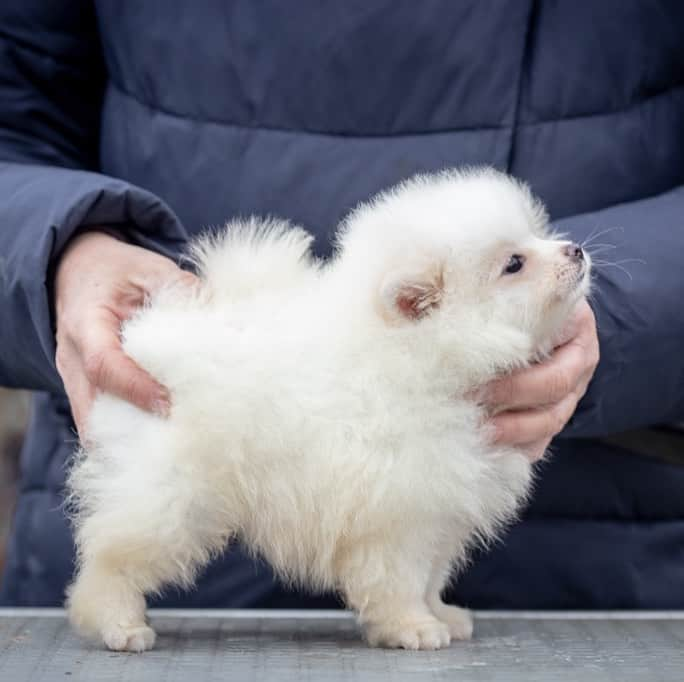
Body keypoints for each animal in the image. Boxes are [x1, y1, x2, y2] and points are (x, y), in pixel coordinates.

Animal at [65, 167, 588, 652]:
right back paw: (118, 624)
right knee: (111, 557)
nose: (575, 251)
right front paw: (414, 628)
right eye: (514, 263)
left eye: (536, 234)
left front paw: (441, 613)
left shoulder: (442, 505)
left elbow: (431, 574)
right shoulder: (397, 508)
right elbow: (401, 578)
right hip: (171, 493)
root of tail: (152, 332)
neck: (424, 359)